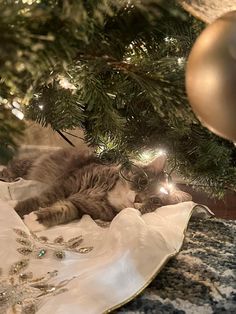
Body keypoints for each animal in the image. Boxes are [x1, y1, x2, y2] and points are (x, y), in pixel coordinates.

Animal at [0, 147, 192, 231]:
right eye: (143, 181)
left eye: (155, 201)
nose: (138, 199)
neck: (104, 194)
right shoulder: (65, 185)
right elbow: (42, 199)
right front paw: (13, 209)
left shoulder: (80, 208)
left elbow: (63, 210)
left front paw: (36, 220)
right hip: (28, 165)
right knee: (11, 168)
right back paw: (7, 176)